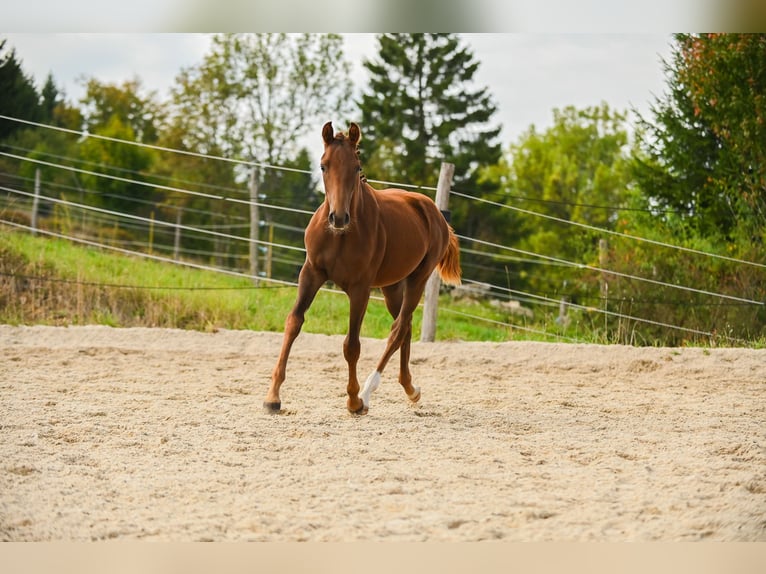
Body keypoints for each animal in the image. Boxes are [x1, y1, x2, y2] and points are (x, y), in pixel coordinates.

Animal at [263, 122, 461, 415]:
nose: (338, 218)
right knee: (406, 327)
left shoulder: (360, 289)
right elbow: (294, 322)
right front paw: (273, 397)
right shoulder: (311, 273)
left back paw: (369, 393)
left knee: (398, 329)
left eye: (356, 168)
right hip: (392, 286)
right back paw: (410, 388)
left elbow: (352, 345)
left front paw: (354, 400)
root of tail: (434, 212)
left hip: (418, 279)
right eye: (323, 165)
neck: (339, 236)